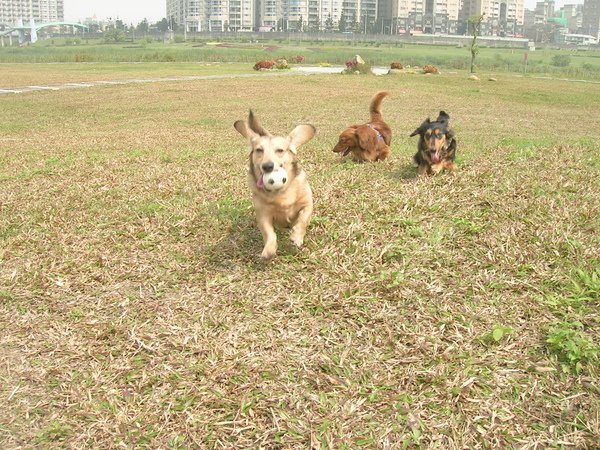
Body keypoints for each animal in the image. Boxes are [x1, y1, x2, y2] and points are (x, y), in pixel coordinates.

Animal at [233, 110, 316, 260]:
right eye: (259, 150)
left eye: (280, 150)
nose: (267, 166)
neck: (281, 192)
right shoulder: (263, 215)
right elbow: (269, 233)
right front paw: (269, 250)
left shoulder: (307, 204)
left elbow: (303, 220)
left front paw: (296, 237)